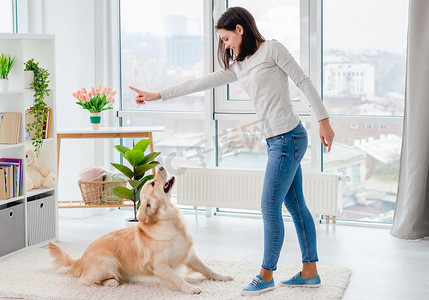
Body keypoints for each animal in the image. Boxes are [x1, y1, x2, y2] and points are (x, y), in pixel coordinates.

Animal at [49, 168, 234, 294]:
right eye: (152, 183)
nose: (161, 167)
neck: (169, 220)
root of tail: (80, 259)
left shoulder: (190, 255)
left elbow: (208, 269)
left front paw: (223, 277)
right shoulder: (159, 265)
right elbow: (177, 277)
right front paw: (190, 288)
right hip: (109, 262)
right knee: (85, 281)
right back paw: (110, 283)